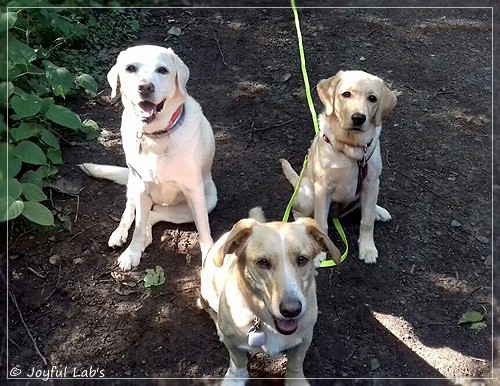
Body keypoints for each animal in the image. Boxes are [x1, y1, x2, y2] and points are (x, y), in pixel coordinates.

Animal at [80, 45, 217, 272]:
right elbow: (136, 226)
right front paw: (131, 254)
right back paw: (120, 234)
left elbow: (205, 233)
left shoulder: (195, 193)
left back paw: (146, 236)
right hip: (134, 185)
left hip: (207, 201)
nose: (145, 87)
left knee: (153, 215)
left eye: (162, 70)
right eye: (130, 68)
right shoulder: (142, 188)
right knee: (132, 212)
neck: (156, 137)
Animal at [198, 207, 340, 384]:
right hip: (207, 294)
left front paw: (295, 380)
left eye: (302, 259)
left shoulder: (306, 336)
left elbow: (296, 362)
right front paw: (236, 377)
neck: (267, 321)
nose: (291, 310)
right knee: (208, 309)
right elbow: (238, 361)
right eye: (263, 262)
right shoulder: (233, 344)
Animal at [282, 69, 398, 264]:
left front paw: (368, 248)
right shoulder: (323, 188)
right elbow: (321, 224)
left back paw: (378, 211)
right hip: (308, 194)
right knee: (299, 213)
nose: (358, 118)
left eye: (372, 98)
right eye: (346, 94)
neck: (351, 147)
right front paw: (320, 252)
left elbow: (366, 221)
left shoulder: (371, 182)